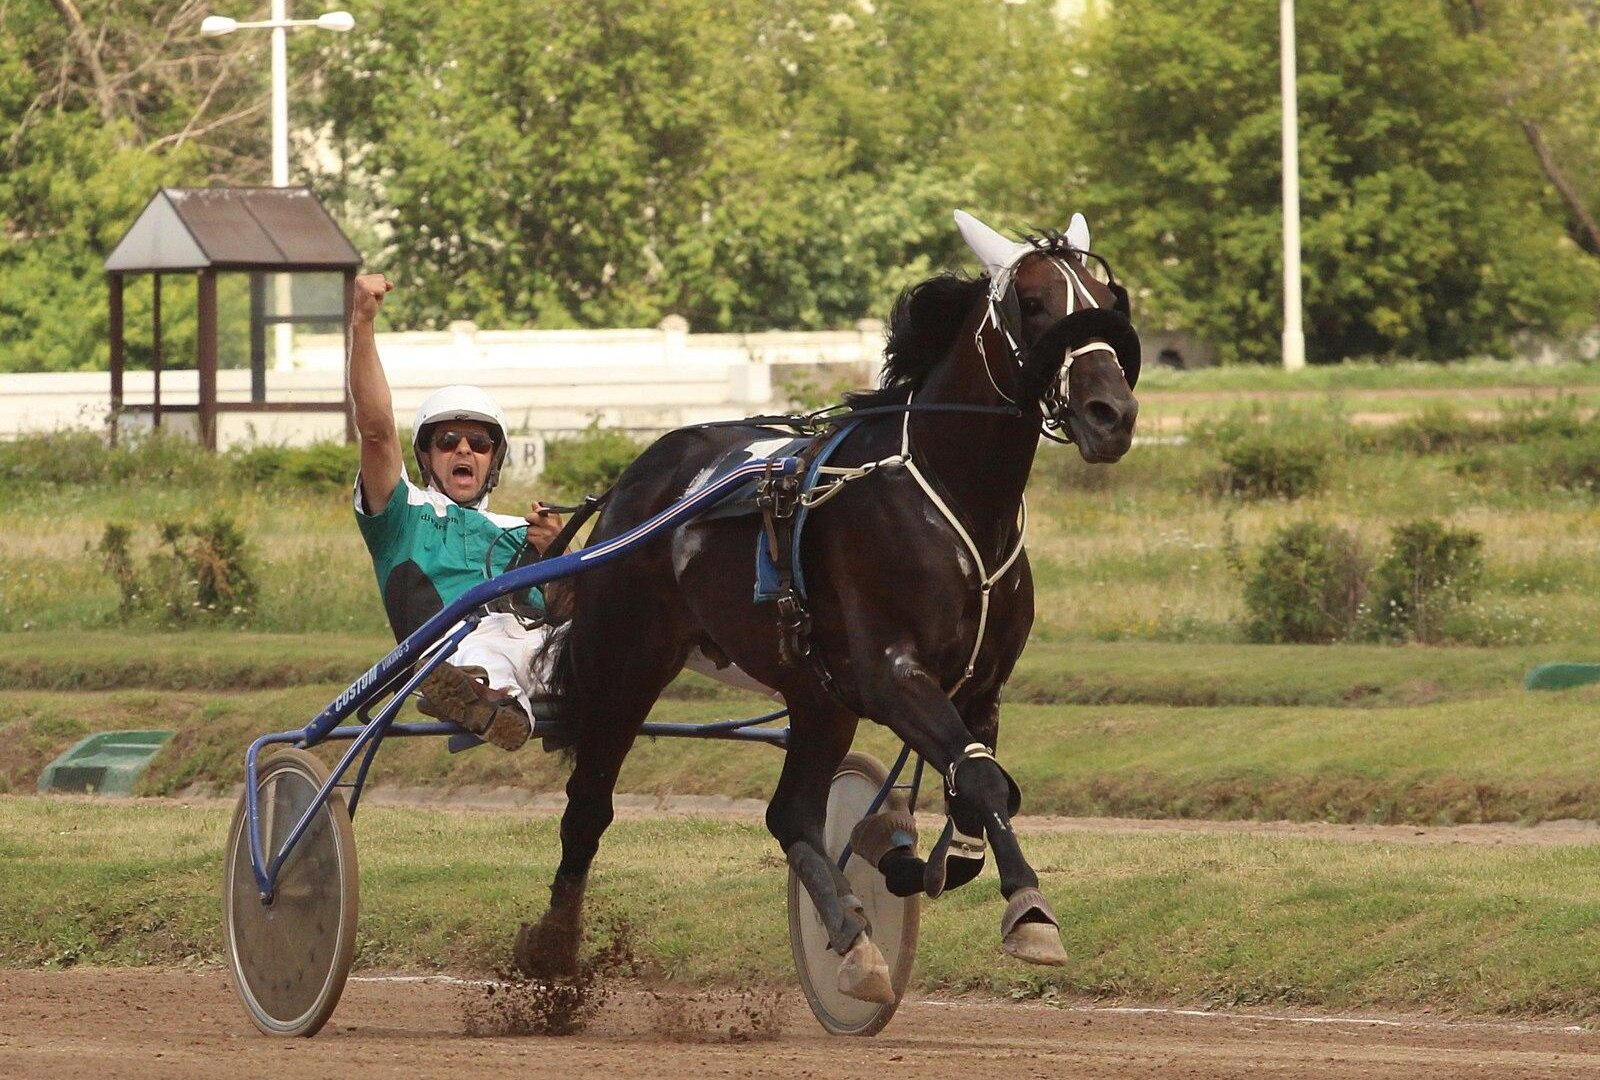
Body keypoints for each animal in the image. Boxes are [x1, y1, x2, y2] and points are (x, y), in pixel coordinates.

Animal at [515, 209, 1139, 998]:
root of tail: (633, 477)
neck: (952, 496)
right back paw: (555, 948)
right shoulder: (891, 673)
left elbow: (975, 791)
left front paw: (904, 856)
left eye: (1107, 298)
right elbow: (981, 780)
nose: (1112, 412)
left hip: (818, 698)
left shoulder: (980, 687)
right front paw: (1030, 913)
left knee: (791, 815)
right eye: (1033, 303)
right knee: (588, 807)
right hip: (624, 662)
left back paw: (851, 935)